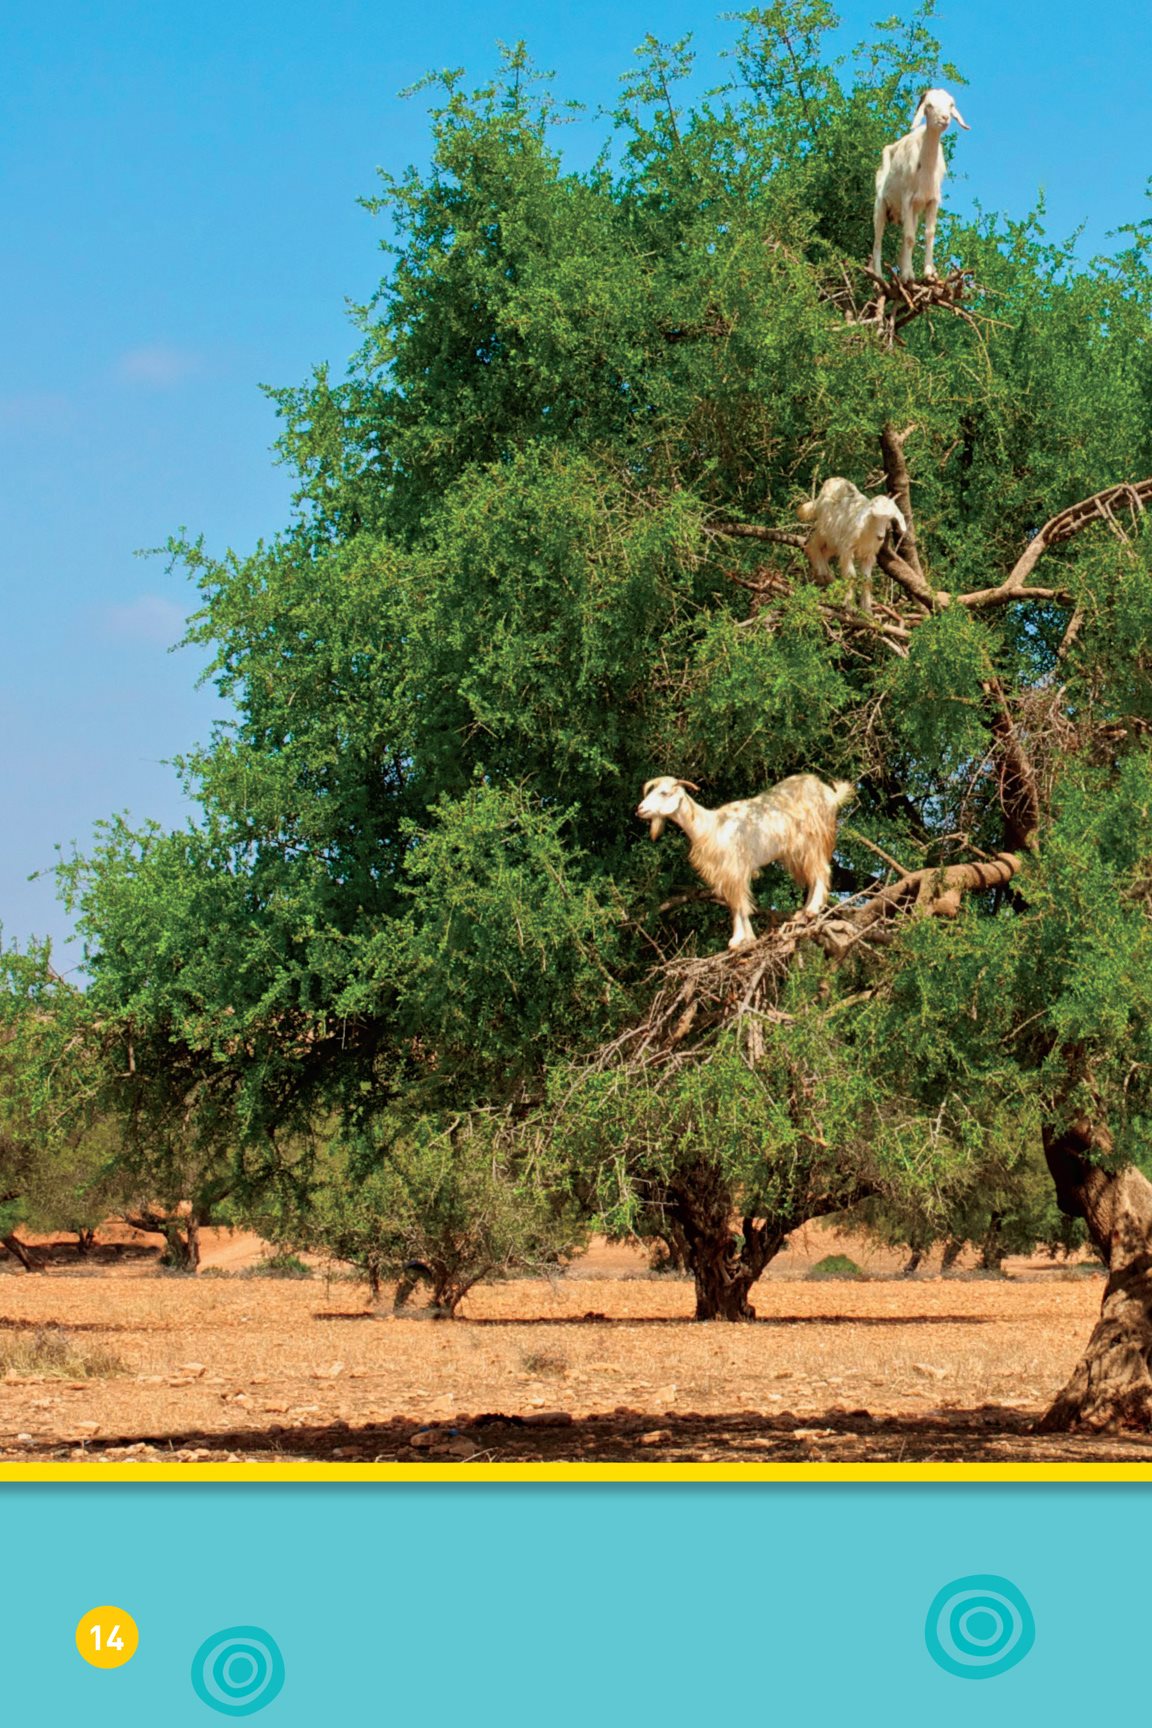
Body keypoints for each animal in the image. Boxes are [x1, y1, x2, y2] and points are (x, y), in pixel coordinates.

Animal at [635, 777, 853, 953]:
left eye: (663, 793)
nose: (640, 809)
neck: (711, 826)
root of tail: (829, 794)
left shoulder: (734, 868)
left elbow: (740, 905)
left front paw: (738, 939)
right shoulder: (727, 874)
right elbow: (735, 905)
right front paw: (746, 939)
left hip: (813, 840)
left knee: (821, 871)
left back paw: (813, 909)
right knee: (813, 876)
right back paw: (802, 913)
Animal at [797, 476, 905, 618]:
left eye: (889, 518)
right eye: (874, 516)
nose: (881, 536)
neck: (867, 530)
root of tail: (834, 480)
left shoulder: (868, 555)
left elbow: (867, 580)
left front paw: (867, 611)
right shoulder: (847, 549)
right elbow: (851, 577)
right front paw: (851, 607)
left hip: (834, 542)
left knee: (824, 553)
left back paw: (829, 579)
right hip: (823, 530)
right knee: (811, 545)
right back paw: (822, 572)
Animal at [870, 87, 967, 281]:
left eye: (950, 105)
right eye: (929, 105)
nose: (945, 118)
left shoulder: (932, 201)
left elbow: (928, 234)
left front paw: (929, 272)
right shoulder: (907, 199)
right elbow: (909, 237)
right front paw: (908, 276)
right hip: (880, 205)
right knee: (878, 240)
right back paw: (879, 276)